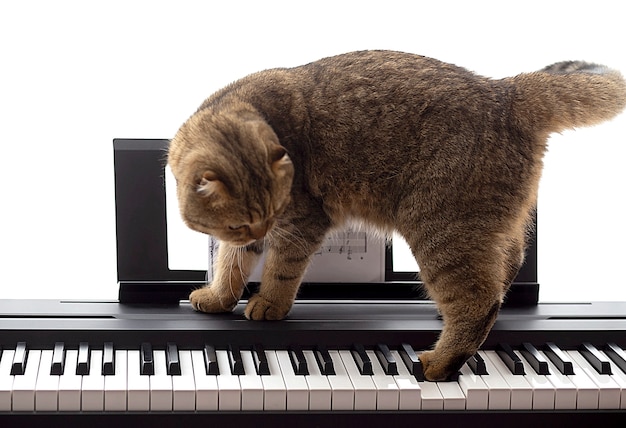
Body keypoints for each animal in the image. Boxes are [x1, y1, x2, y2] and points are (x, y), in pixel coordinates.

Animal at [166, 50, 624, 382]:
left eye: (272, 212)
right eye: (240, 223)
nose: (260, 230)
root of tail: (505, 91)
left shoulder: (301, 222)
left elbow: (279, 270)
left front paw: (268, 303)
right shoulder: (251, 236)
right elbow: (230, 264)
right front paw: (219, 296)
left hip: (440, 228)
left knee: (479, 301)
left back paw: (440, 362)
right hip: (488, 227)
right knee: (506, 266)